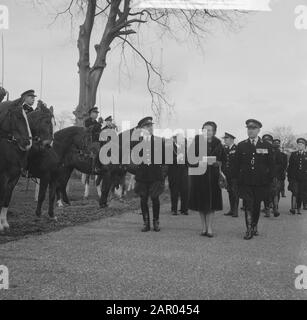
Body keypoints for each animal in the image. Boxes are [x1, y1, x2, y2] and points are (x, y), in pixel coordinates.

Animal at [0, 99, 33, 231]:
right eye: (19, 117)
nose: (28, 143)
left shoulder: (13, 179)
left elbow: (6, 199)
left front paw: (4, 223)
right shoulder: (3, 178)